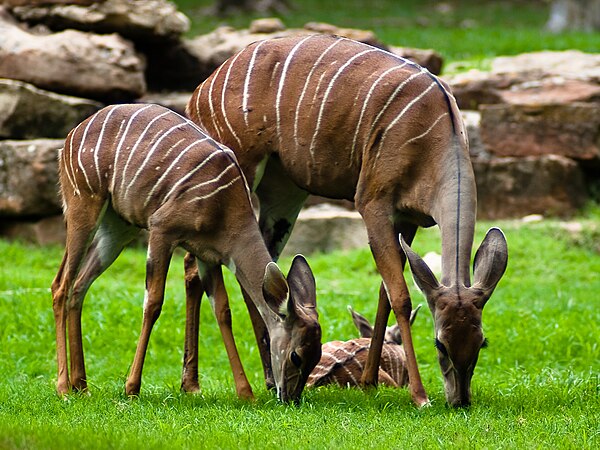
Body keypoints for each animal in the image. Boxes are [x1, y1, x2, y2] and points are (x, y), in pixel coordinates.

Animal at [50, 103, 324, 400]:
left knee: (79, 285)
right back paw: (64, 386)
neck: (226, 208)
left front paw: (245, 393)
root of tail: (69, 138)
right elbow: (153, 303)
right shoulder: (161, 229)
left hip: (117, 228)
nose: (291, 399)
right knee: (61, 285)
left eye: (317, 357)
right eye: (296, 356)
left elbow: (223, 311)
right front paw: (131, 387)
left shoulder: (208, 255)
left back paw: (81, 385)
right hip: (83, 204)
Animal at [185, 34, 508, 408]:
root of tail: (199, 92)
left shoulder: (408, 218)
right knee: (194, 267)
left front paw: (368, 382)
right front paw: (419, 395)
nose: (460, 400)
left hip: (285, 194)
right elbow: (401, 296)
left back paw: (267, 379)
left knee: (260, 273)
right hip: (238, 176)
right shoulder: (373, 203)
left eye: (481, 342)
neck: (436, 134)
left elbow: (386, 291)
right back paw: (193, 384)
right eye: (439, 342)